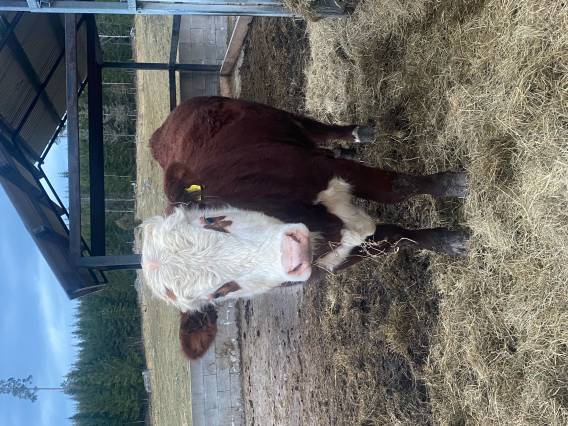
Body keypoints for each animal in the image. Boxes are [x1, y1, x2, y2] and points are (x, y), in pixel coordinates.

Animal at [140, 96, 468, 359]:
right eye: (219, 292)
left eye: (212, 221)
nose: (293, 253)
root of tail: (159, 134)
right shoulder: (340, 258)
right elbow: (399, 237)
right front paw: (446, 240)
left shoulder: (323, 170)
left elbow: (397, 187)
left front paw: (452, 184)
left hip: (272, 115)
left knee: (315, 128)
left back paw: (358, 133)